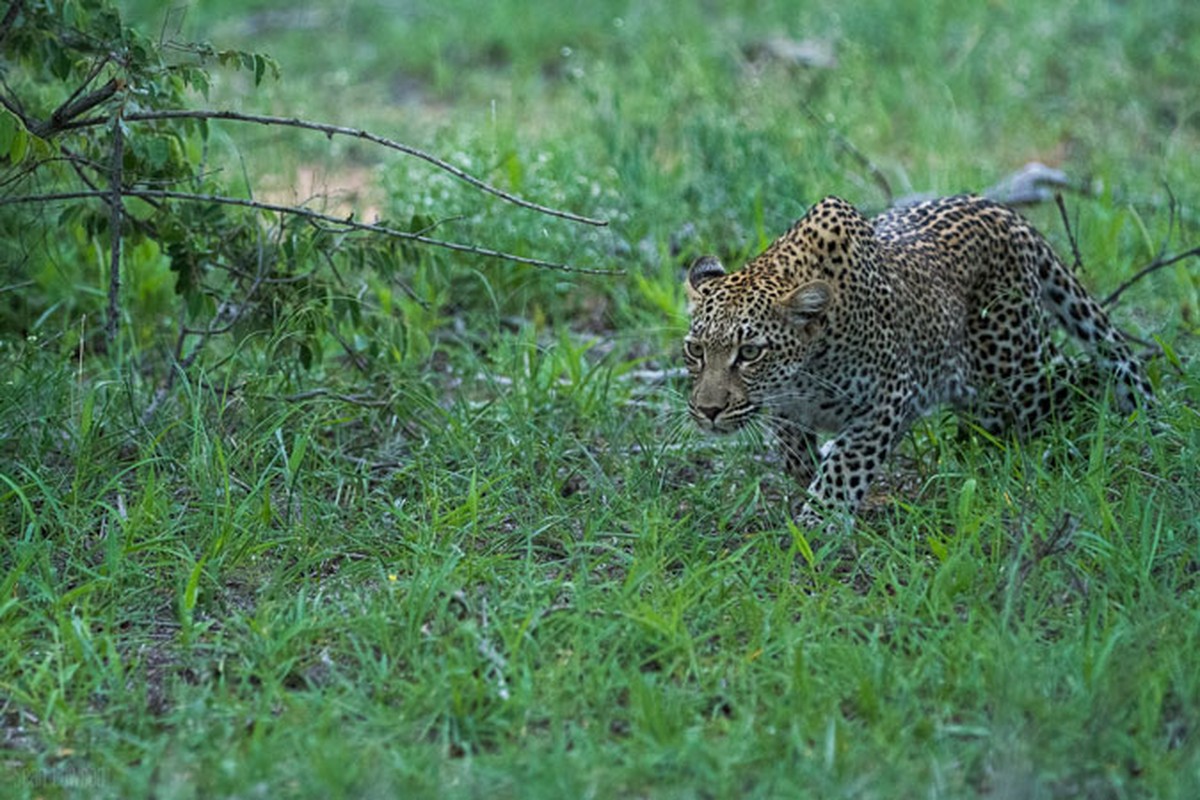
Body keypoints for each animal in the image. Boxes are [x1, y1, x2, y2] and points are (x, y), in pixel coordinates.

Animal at [681, 194, 1147, 527]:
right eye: (695, 350)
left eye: (750, 353)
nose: (708, 411)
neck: (808, 366)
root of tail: (1008, 214)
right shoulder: (785, 405)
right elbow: (795, 451)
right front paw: (811, 474)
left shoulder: (890, 394)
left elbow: (849, 460)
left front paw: (821, 518)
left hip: (1015, 376)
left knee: (1084, 374)